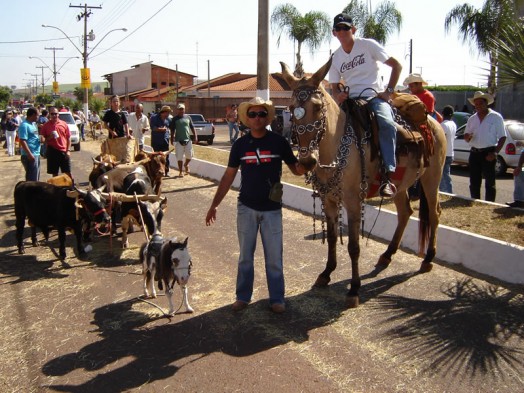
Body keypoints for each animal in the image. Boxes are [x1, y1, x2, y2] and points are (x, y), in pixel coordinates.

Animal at [278, 58, 446, 308]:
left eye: (317, 107)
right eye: (290, 109)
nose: (307, 161)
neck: (336, 146)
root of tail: (431, 121)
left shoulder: (353, 202)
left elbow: (354, 246)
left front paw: (354, 289)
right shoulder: (329, 199)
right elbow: (331, 238)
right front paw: (326, 273)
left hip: (431, 178)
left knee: (434, 214)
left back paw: (428, 259)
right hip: (400, 185)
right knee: (405, 212)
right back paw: (387, 255)